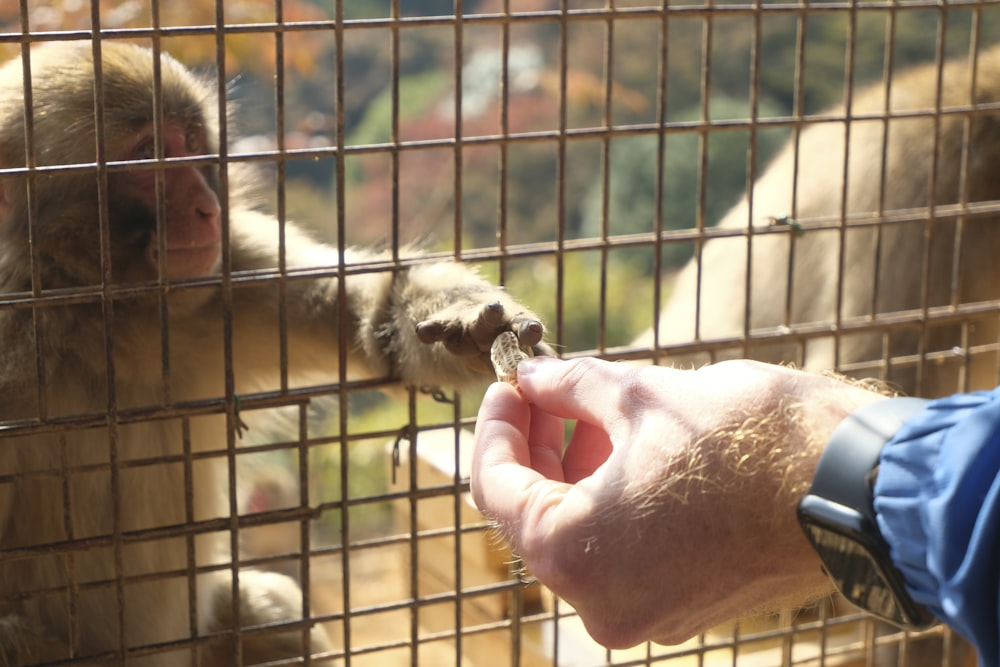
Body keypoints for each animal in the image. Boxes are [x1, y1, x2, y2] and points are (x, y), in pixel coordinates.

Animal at [0, 41, 552, 667]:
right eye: (145, 155)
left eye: (191, 140)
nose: (206, 206)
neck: (102, 315)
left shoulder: (229, 267)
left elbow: (367, 325)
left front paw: (466, 321)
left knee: (277, 617)